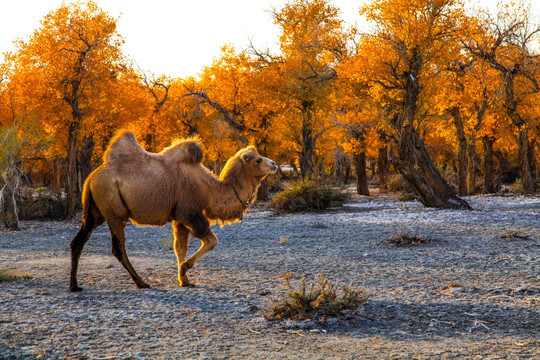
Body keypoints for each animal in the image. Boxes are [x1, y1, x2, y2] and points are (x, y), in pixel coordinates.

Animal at [69, 131, 276, 292]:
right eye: (258, 160)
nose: (274, 164)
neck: (210, 190)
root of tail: (90, 178)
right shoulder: (190, 212)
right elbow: (211, 241)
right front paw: (184, 269)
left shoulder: (178, 217)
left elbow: (179, 247)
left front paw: (184, 280)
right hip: (114, 211)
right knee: (118, 247)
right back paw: (142, 282)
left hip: (94, 212)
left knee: (78, 241)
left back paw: (74, 285)